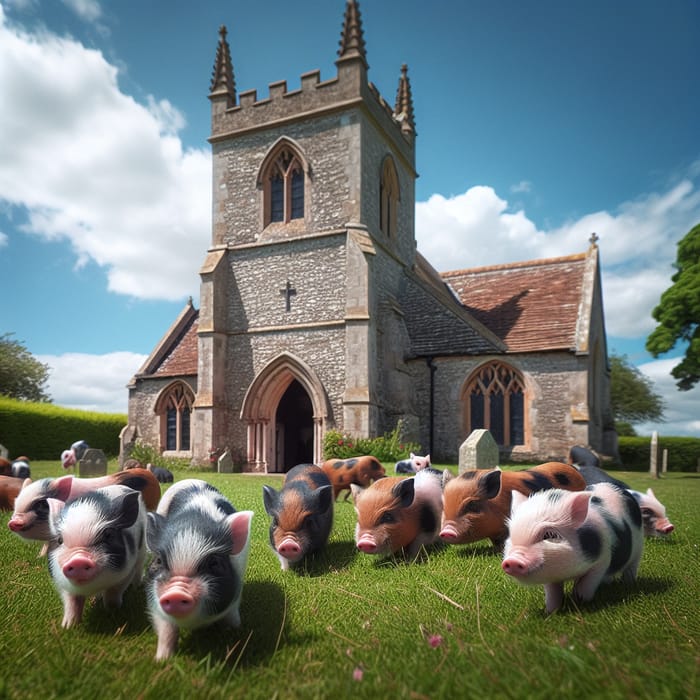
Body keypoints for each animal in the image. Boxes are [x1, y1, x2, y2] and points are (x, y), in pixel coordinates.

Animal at [47, 486, 146, 628]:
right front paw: (68, 626)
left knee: (139, 569)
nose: (78, 560)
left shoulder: (126, 572)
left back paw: (137, 586)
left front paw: (112, 612)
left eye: (108, 535)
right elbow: (72, 601)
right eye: (60, 540)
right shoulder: (62, 582)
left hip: (142, 552)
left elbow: (113, 593)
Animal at [146, 478, 254, 660]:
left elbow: (231, 616)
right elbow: (167, 629)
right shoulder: (156, 600)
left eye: (214, 563)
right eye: (158, 561)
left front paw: (236, 632)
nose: (175, 593)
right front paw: (161, 660)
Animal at [500, 482, 644, 612]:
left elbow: (589, 581)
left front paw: (580, 598)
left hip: (638, 550)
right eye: (511, 536)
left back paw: (628, 584)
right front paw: (551, 611)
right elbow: (553, 592)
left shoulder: (603, 559)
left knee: (632, 567)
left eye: (549, 534)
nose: (512, 561)